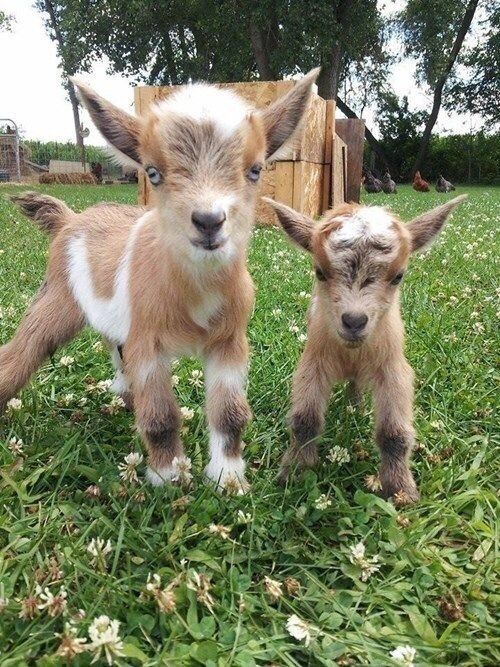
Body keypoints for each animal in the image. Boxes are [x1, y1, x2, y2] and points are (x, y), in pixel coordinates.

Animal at [0, 69, 319, 492]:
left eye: (255, 170)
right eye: (153, 173)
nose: (208, 221)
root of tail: (70, 219)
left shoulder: (229, 340)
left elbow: (230, 413)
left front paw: (228, 479)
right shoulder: (149, 343)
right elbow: (160, 415)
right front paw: (168, 476)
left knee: (114, 350)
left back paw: (123, 395)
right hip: (56, 300)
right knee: (23, 350)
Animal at [264, 194, 466, 504]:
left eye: (398, 276)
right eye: (319, 272)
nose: (354, 321)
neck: (352, 353)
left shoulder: (393, 370)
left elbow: (394, 433)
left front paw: (401, 489)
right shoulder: (313, 364)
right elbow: (305, 420)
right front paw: (295, 471)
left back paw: (355, 407)